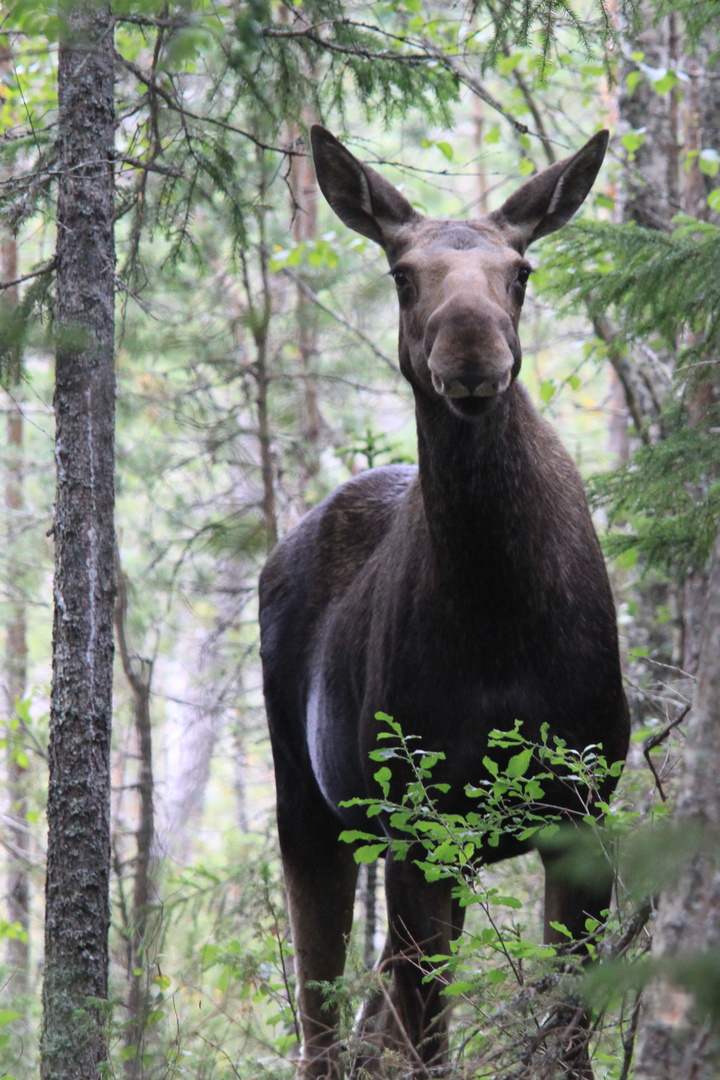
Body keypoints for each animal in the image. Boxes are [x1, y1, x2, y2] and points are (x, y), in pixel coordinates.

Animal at [260, 128, 630, 1080]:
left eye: (520, 270)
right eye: (402, 273)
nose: (470, 353)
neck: (497, 612)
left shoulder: (582, 812)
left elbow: (566, 1033)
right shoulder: (420, 828)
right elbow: (432, 1038)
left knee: (369, 1020)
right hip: (312, 809)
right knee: (324, 1024)